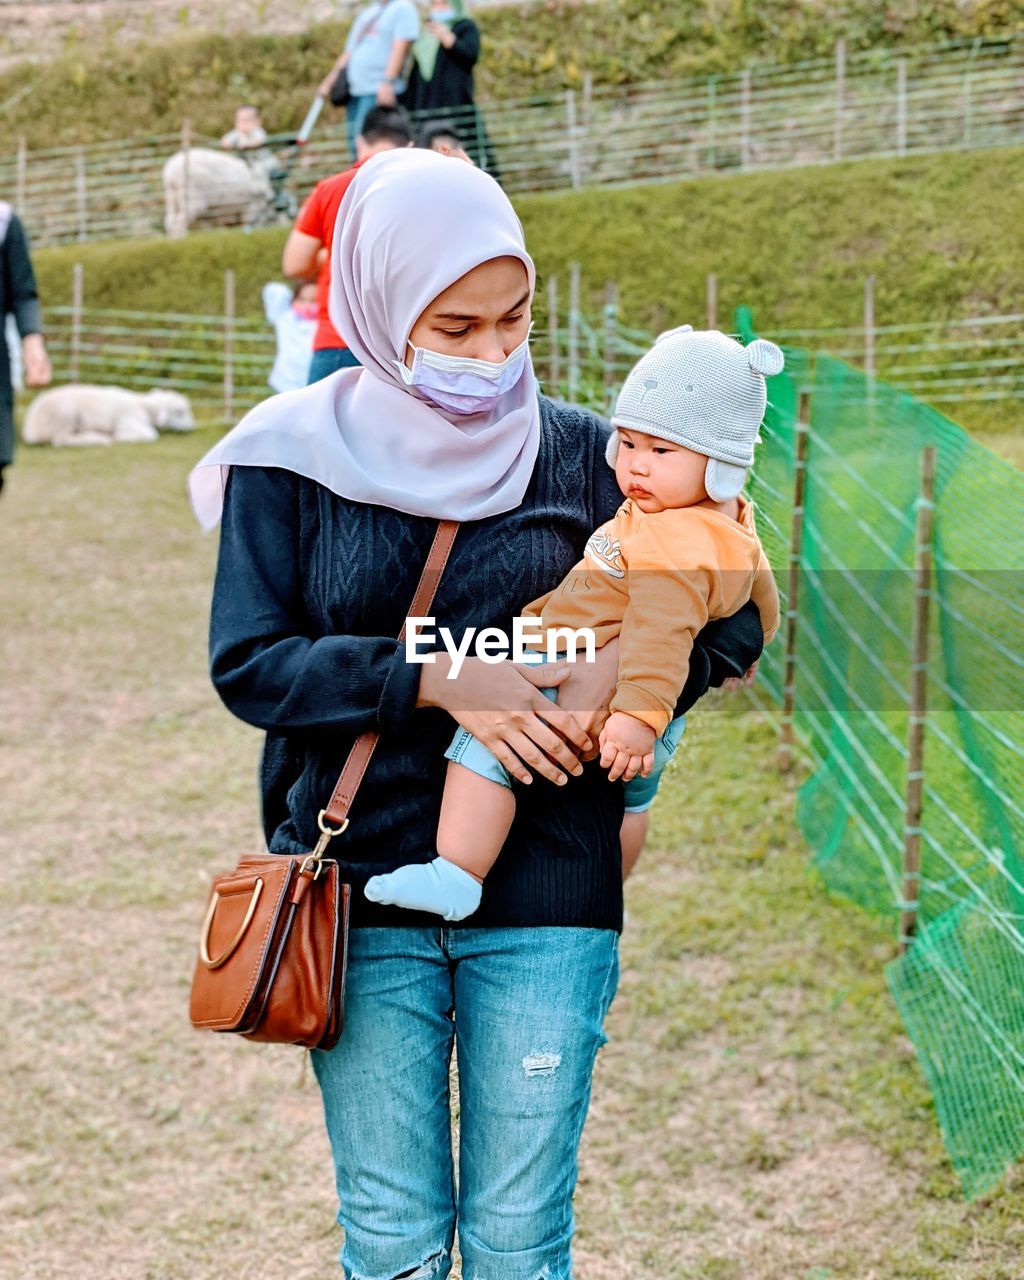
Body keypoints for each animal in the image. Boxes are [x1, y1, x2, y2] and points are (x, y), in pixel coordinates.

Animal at [24, 384, 198, 445]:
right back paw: (99, 439)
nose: (193, 427)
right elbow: (152, 434)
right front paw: (120, 437)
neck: (142, 405)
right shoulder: (128, 422)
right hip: (65, 414)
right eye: (180, 412)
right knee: (60, 440)